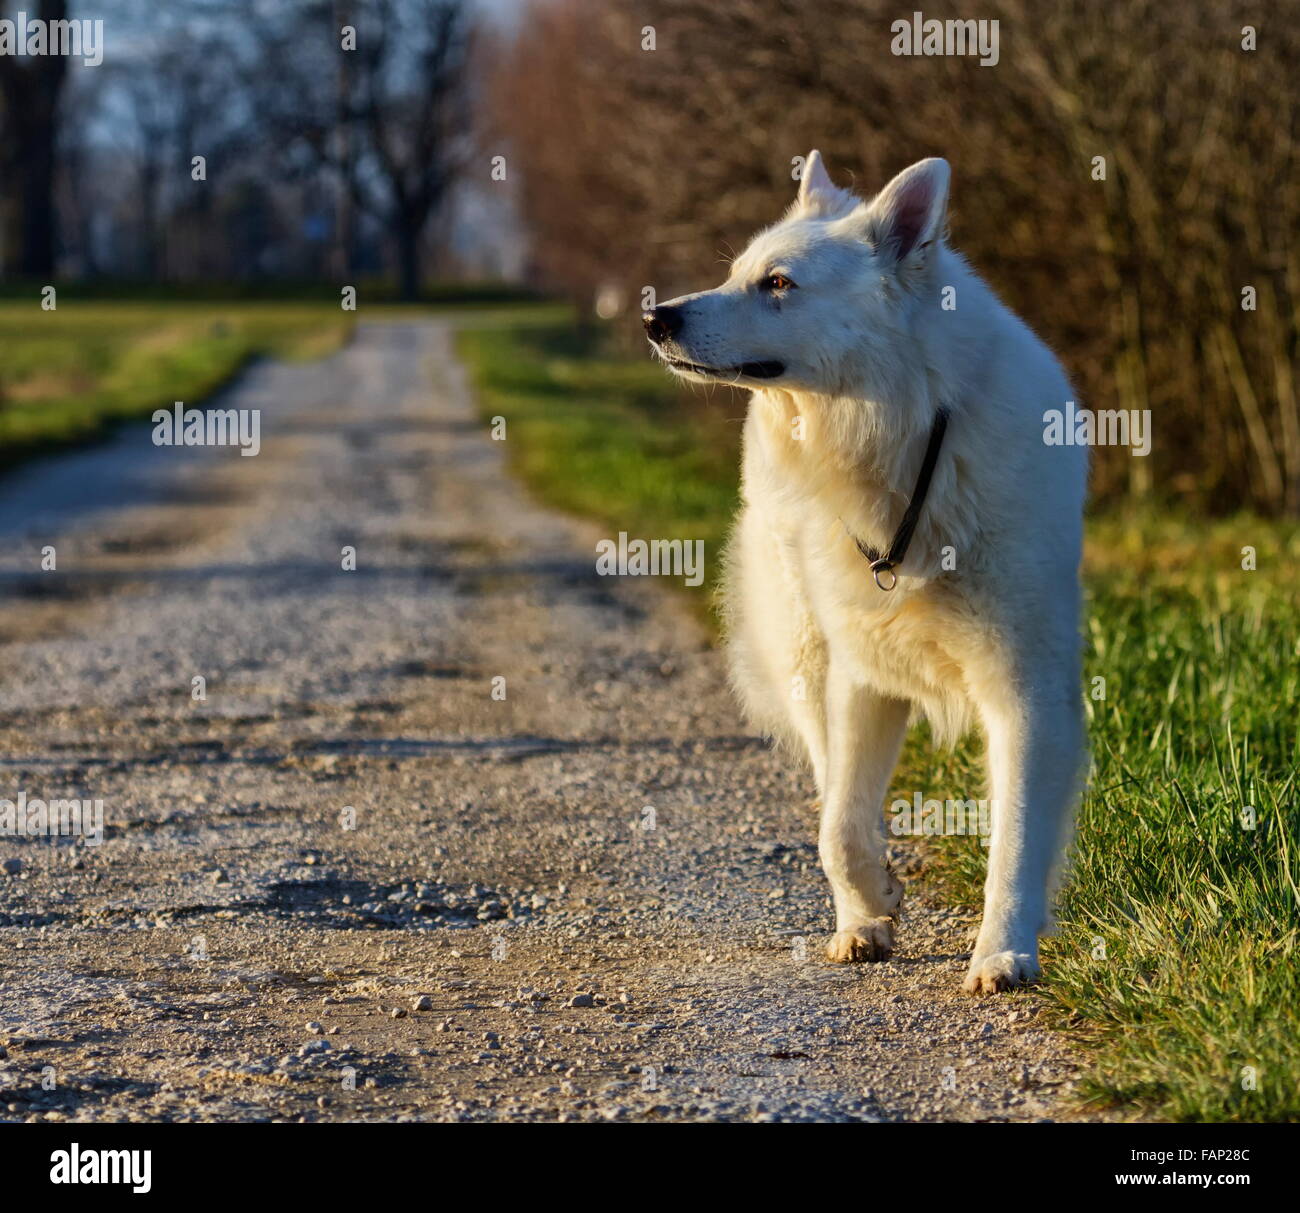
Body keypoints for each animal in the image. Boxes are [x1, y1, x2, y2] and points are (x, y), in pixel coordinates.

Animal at [647, 151, 1086, 988]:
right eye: (735, 273)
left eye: (777, 282)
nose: (654, 319)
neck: (910, 442)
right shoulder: (862, 678)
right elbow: (840, 826)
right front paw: (872, 905)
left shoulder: (1026, 687)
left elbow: (1013, 837)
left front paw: (1003, 950)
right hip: (806, 651)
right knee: (826, 786)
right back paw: (861, 913)